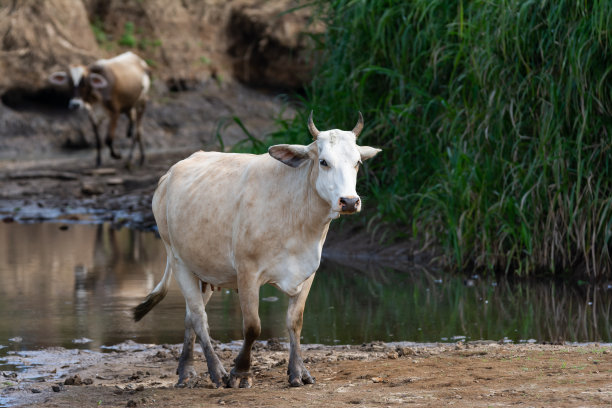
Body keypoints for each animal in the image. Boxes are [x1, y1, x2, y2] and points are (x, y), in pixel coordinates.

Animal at [133, 113, 380, 388]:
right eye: (324, 161)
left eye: (357, 162)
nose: (349, 201)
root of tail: (168, 175)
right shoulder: (247, 272)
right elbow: (252, 327)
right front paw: (240, 373)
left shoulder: (308, 272)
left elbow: (295, 322)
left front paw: (298, 372)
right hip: (178, 260)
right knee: (198, 317)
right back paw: (215, 371)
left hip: (203, 271)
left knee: (190, 317)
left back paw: (186, 369)